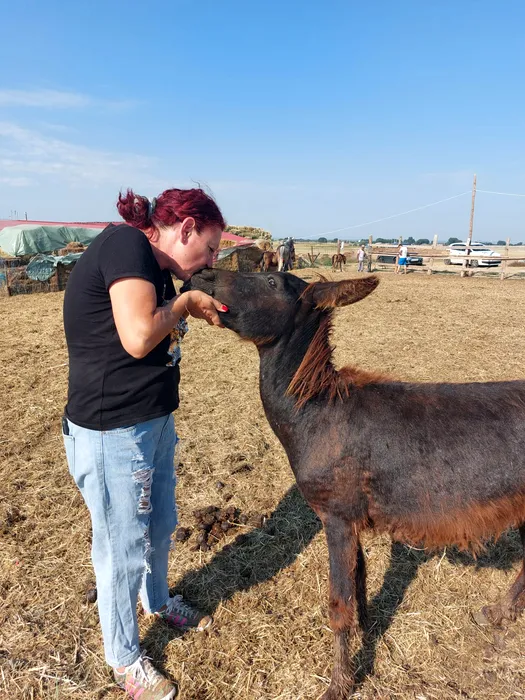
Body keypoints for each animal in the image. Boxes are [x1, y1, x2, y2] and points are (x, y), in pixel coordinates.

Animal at [184, 268, 525, 700]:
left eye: (272, 281)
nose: (201, 274)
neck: (313, 413)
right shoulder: (351, 518)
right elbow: (359, 581)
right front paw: (368, 626)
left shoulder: (337, 516)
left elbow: (338, 604)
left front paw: (339, 684)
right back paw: (498, 613)